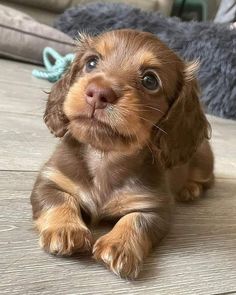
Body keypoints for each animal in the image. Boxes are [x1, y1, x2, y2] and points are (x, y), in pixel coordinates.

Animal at [30, 29, 214, 280]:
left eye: (150, 80)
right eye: (91, 62)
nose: (98, 93)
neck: (104, 157)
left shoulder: (155, 207)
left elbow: (136, 220)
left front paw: (119, 245)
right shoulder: (50, 179)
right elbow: (58, 199)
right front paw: (66, 228)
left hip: (204, 161)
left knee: (207, 181)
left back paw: (190, 189)